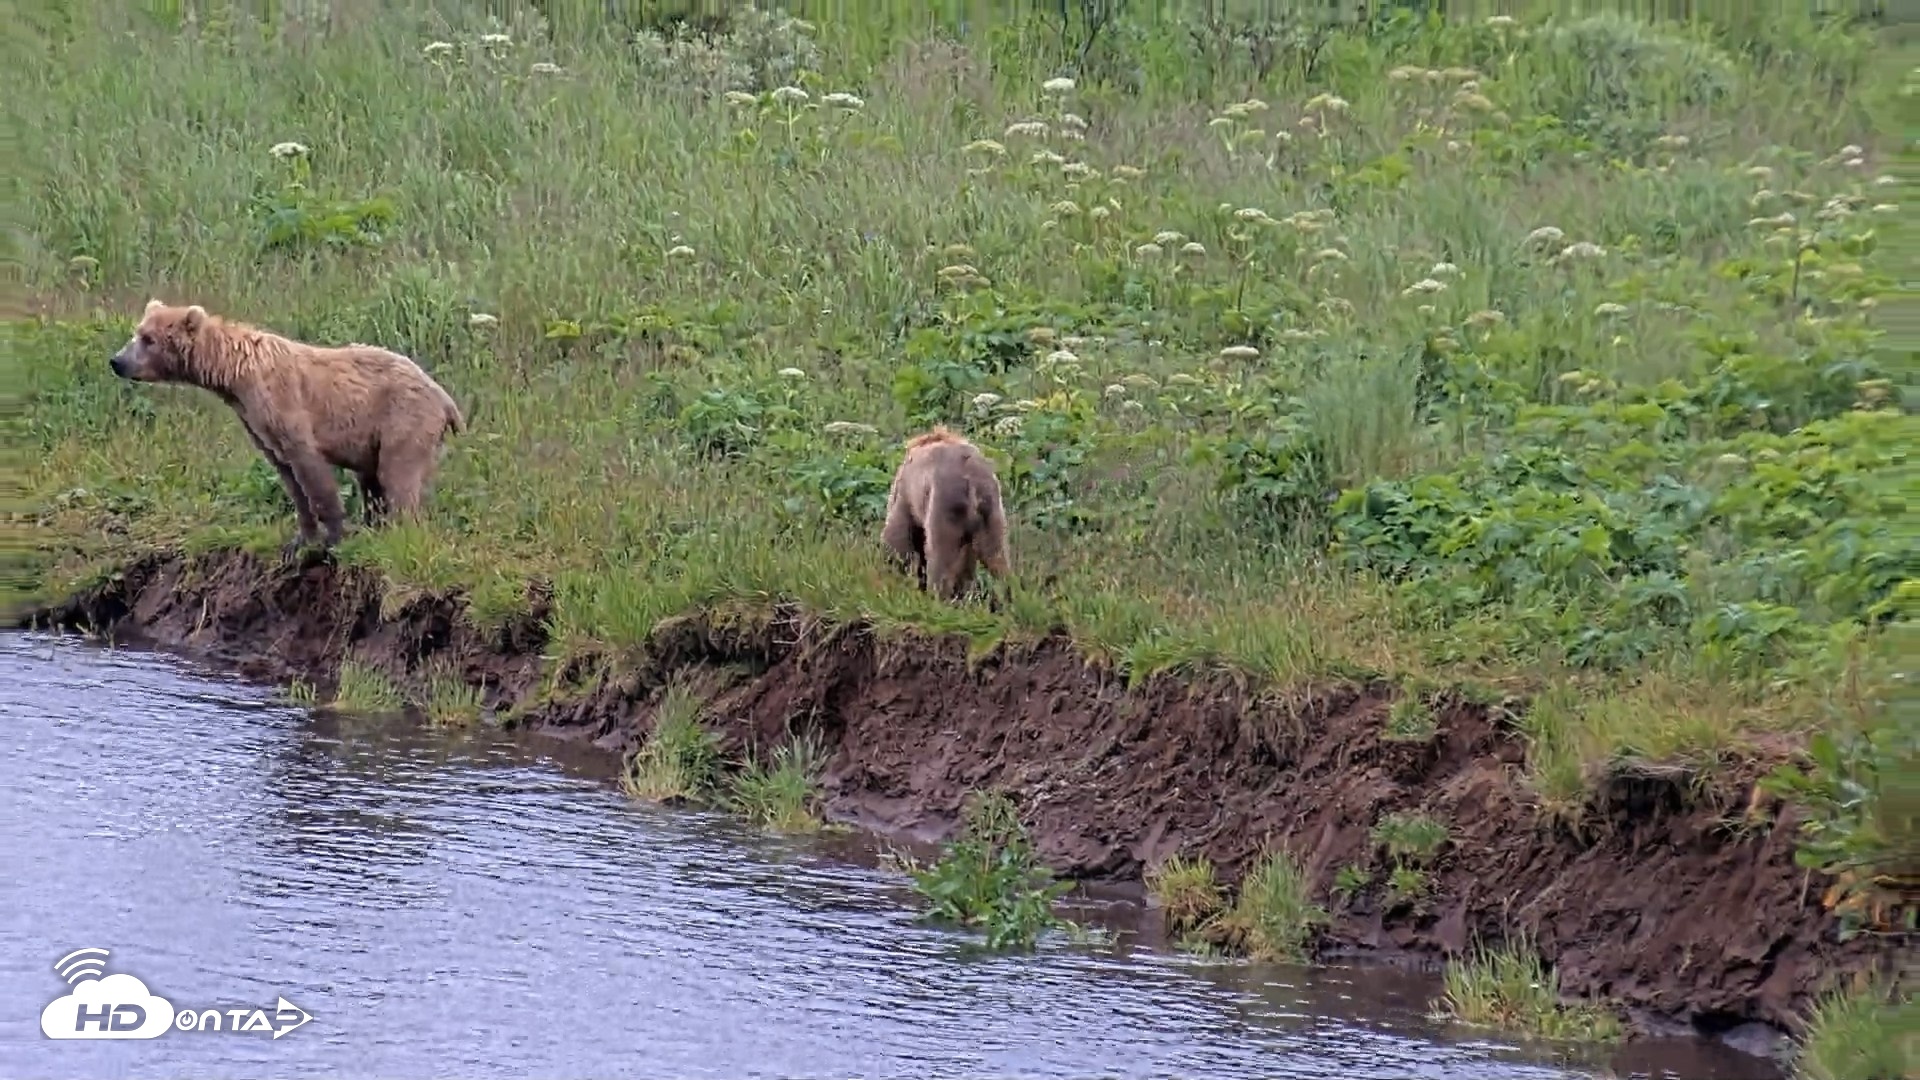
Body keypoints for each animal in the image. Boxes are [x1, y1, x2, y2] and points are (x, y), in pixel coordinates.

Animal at [109, 299, 466, 553]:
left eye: (148, 339)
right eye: (137, 332)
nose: (116, 361)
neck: (234, 375)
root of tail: (446, 398)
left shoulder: (283, 404)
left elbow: (310, 468)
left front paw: (333, 536)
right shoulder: (255, 422)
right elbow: (288, 476)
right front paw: (300, 538)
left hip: (403, 420)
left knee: (397, 476)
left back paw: (400, 530)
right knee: (373, 482)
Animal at [880, 425, 1012, 602]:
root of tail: (972, 481)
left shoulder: (906, 495)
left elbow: (897, 535)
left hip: (945, 506)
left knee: (940, 557)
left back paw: (936, 597)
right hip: (991, 513)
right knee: (997, 557)